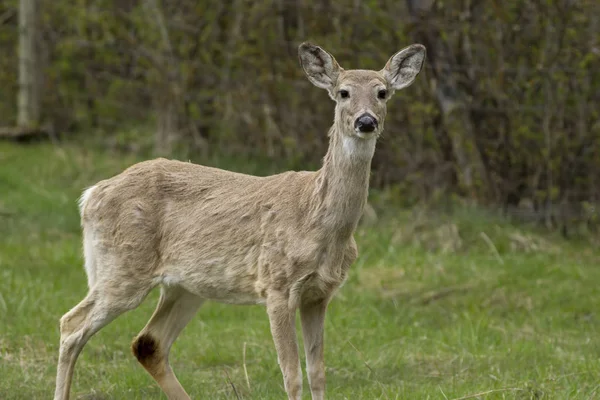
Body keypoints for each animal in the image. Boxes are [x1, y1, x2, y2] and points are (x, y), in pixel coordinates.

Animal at [52, 41, 426, 400]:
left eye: (382, 92)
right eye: (343, 92)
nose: (366, 122)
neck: (317, 219)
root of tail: (91, 195)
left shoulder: (320, 293)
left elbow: (317, 373)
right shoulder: (276, 284)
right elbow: (292, 376)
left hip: (184, 284)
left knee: (148, 343)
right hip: (122, 267)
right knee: (72, 324)